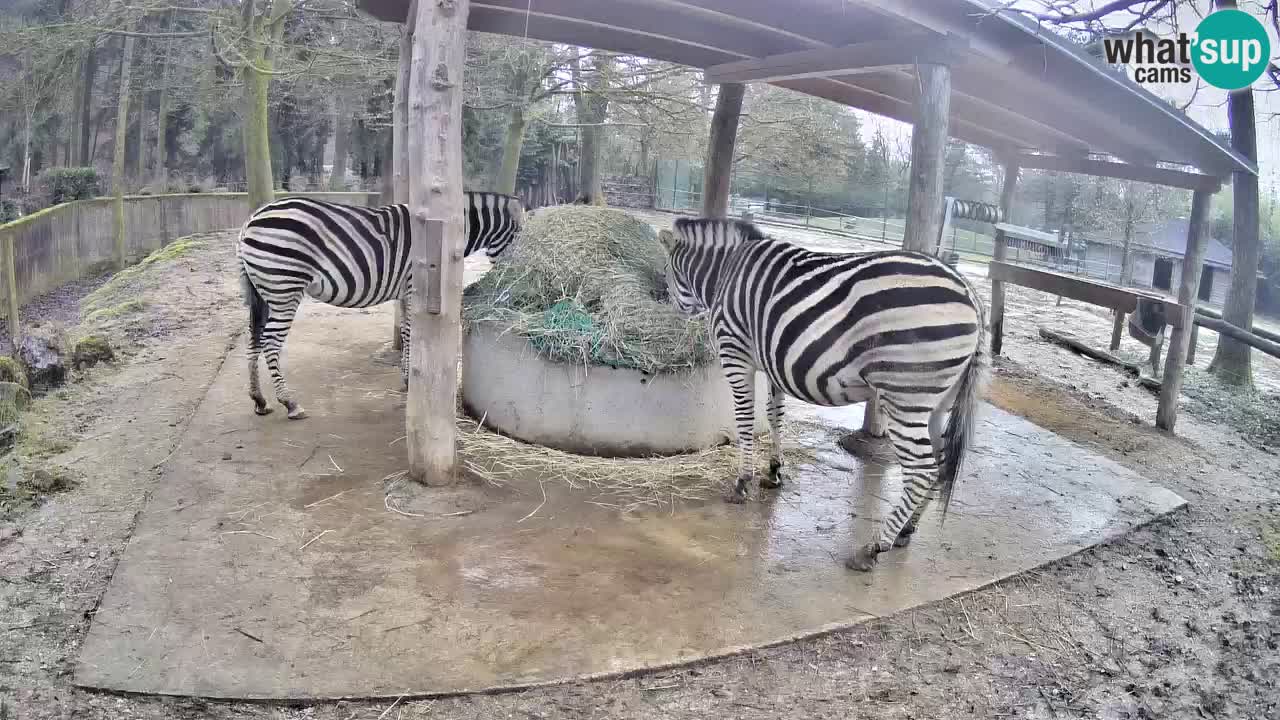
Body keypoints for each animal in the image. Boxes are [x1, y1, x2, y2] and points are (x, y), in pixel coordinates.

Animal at [237, 192, 524, 420]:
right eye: (523, 237)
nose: (514, 278)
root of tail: (250, 221)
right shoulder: (414, 285)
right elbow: (411, 333)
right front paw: (410, 380)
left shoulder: (405, 291)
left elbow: (407, 333)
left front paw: (407, 377)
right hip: (285, 287)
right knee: (270, 342)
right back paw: (290, 402)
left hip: (260, 292)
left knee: (254, 340)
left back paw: (259, 400)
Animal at [658, 217, 986, 572]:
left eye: (666, 271)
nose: (670, 308)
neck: (724, 271)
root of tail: (969, 293)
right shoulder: (773, 362)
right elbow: (774, 415)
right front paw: (774, 471)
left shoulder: (735, 353)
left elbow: (745, 420)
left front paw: (742, 482)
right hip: (938, 400)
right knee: (939, 461)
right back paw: (906, 530)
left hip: (905, 394)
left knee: (922, 469)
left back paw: (873, 547)